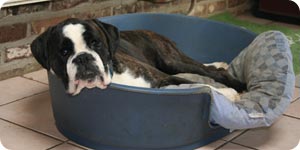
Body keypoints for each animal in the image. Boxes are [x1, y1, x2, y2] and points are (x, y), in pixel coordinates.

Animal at [30, 17, 246, 95]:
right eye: (64, 52)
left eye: (96, 43)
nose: (83, 57)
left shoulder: (165, 78)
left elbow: (206, 86)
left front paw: (228, 95)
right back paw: (219, 64)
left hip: (172, 61)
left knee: (209, 72)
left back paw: (235, 83)